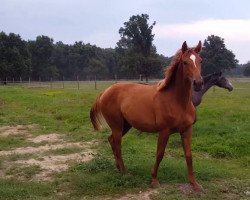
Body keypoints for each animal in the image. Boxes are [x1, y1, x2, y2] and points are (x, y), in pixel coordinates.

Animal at [90, 41, 203, 191]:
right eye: (185, 62)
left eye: (200, 60)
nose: (198, 83)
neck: (177, 101)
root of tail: (105, 91)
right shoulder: (164, 131)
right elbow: (160, 154)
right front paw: (154, 180)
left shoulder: (187, 130)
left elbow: (189, 155)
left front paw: (194, 183)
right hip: (117, 126)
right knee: (118, 145)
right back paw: (125, 173)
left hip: (125, 126)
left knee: (111, 140)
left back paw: (118, 168)